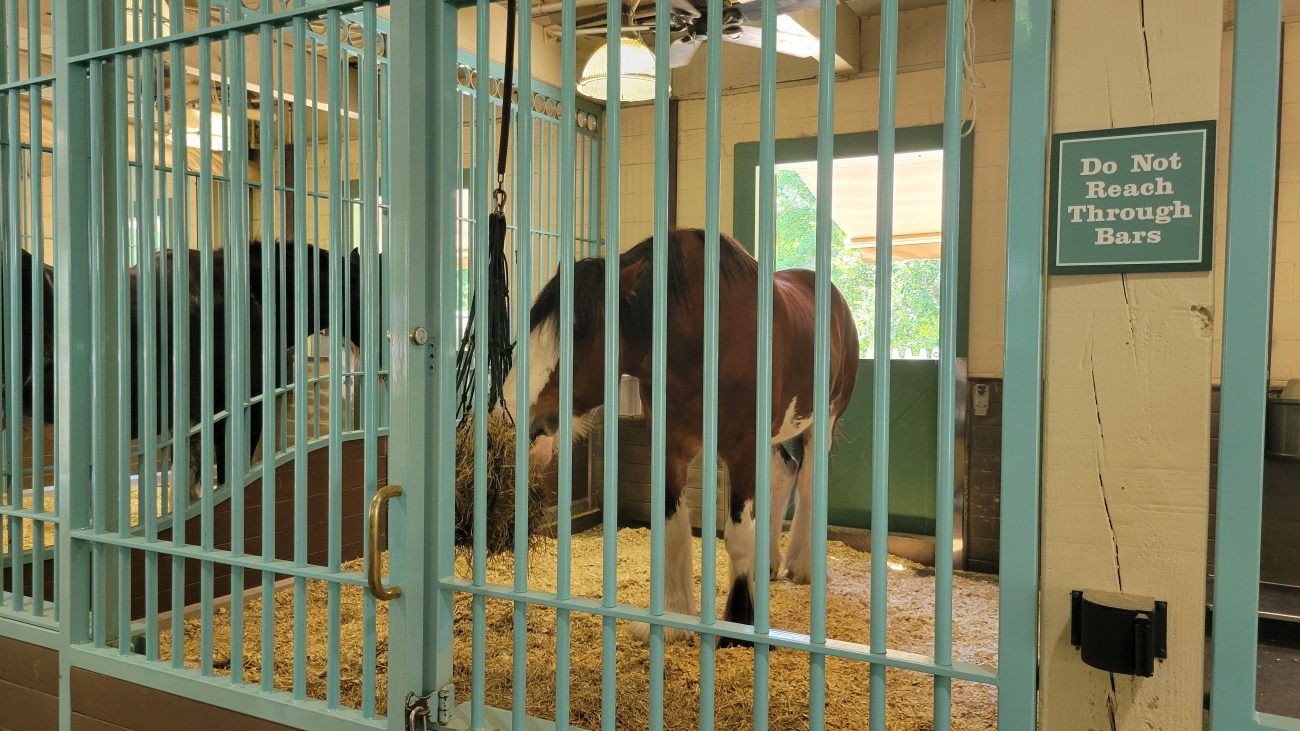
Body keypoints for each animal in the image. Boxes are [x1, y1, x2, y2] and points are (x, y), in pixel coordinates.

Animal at [504, 228, 860, 646]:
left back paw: (802, 567)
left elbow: (738, 539)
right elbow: (674, 532)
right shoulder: (671, 447)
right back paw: (769, 564)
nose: (510, 407)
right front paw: (674, 619)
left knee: (807, 482)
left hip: (823, 422)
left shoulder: (741, 449)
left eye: (578, 331)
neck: (704, 337)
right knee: (784, 474)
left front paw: (739, 626)